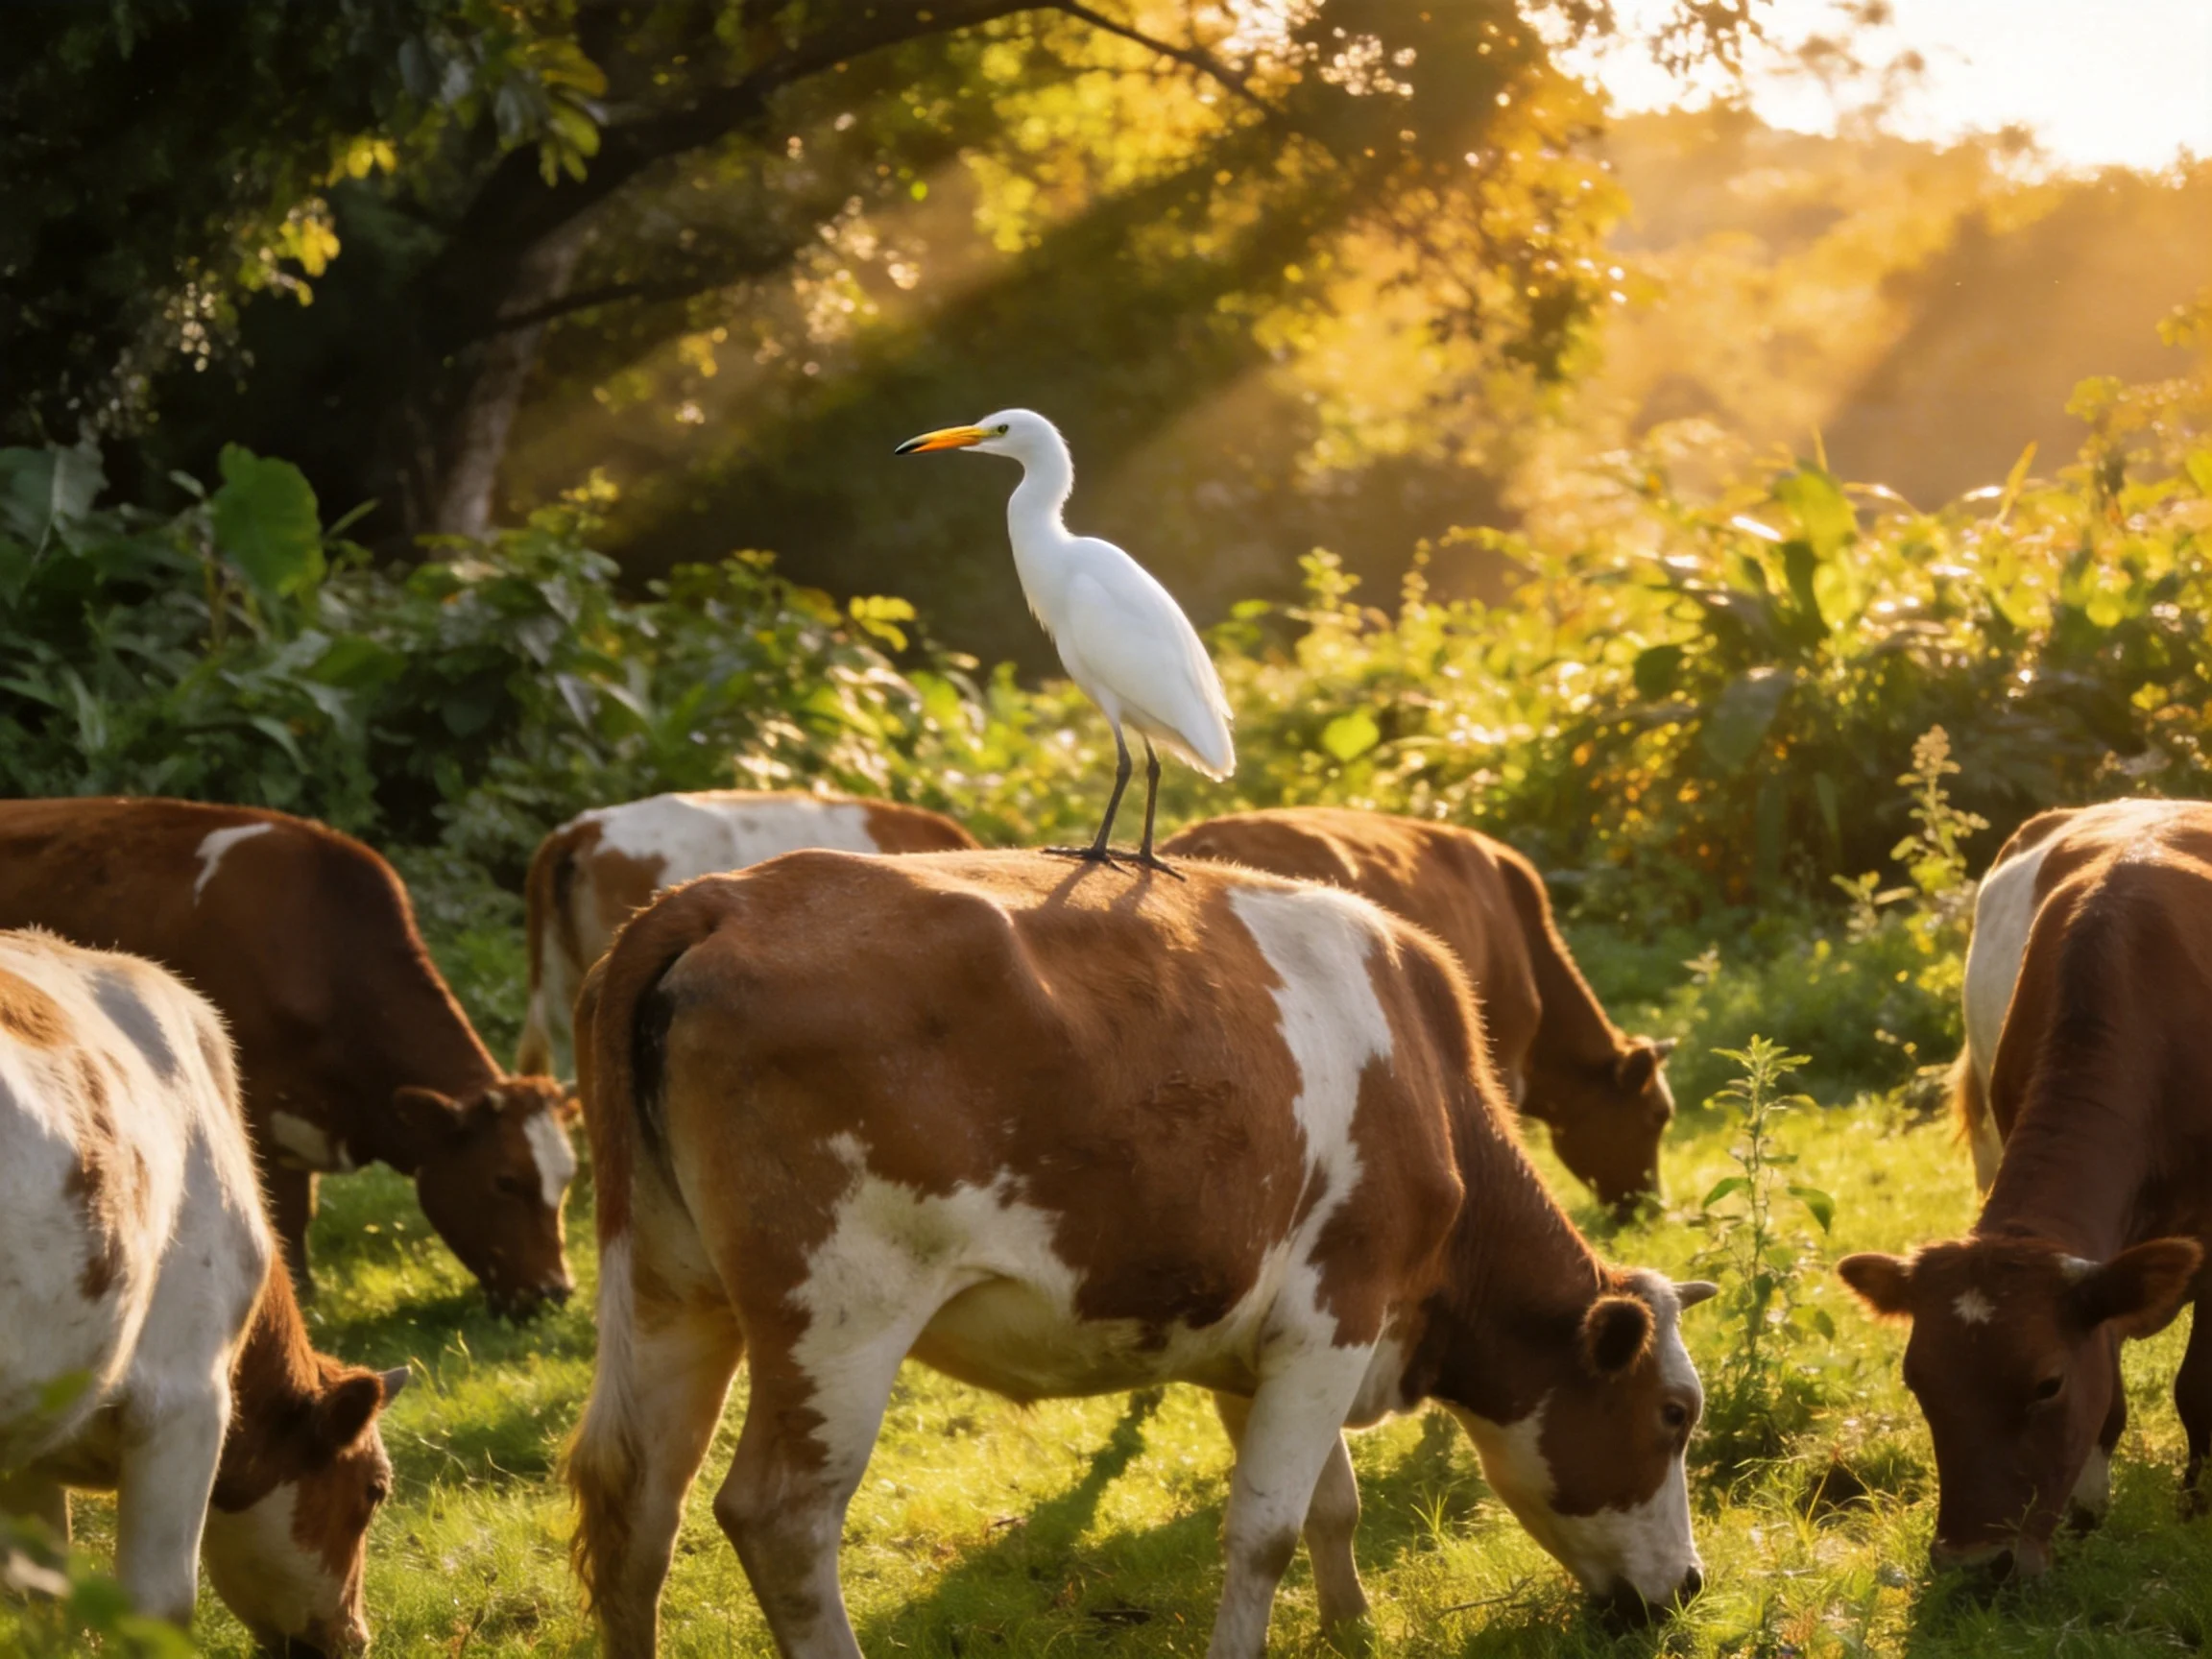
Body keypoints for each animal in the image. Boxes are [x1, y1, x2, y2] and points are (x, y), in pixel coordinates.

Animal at [563, 850, 1715, 1658]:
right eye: (1674, 1415)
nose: (1692, 1586)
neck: (1429, 1084)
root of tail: (723, 897)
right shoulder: (1337, 1313)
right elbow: (1264, 1529)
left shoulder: (1263, 1344)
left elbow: (1329, 1503)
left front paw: (1353, 1628)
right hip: (837, 1319)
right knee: (781, 1521)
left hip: (670, 1292)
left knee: (638, 1506)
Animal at [1839, 797, 2212, 1578]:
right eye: (1919, 1382)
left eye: (2047, 1384)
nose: (1978, 1563)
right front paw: (2086, 1513)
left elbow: (2199, 1388)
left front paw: (2198, 1505)